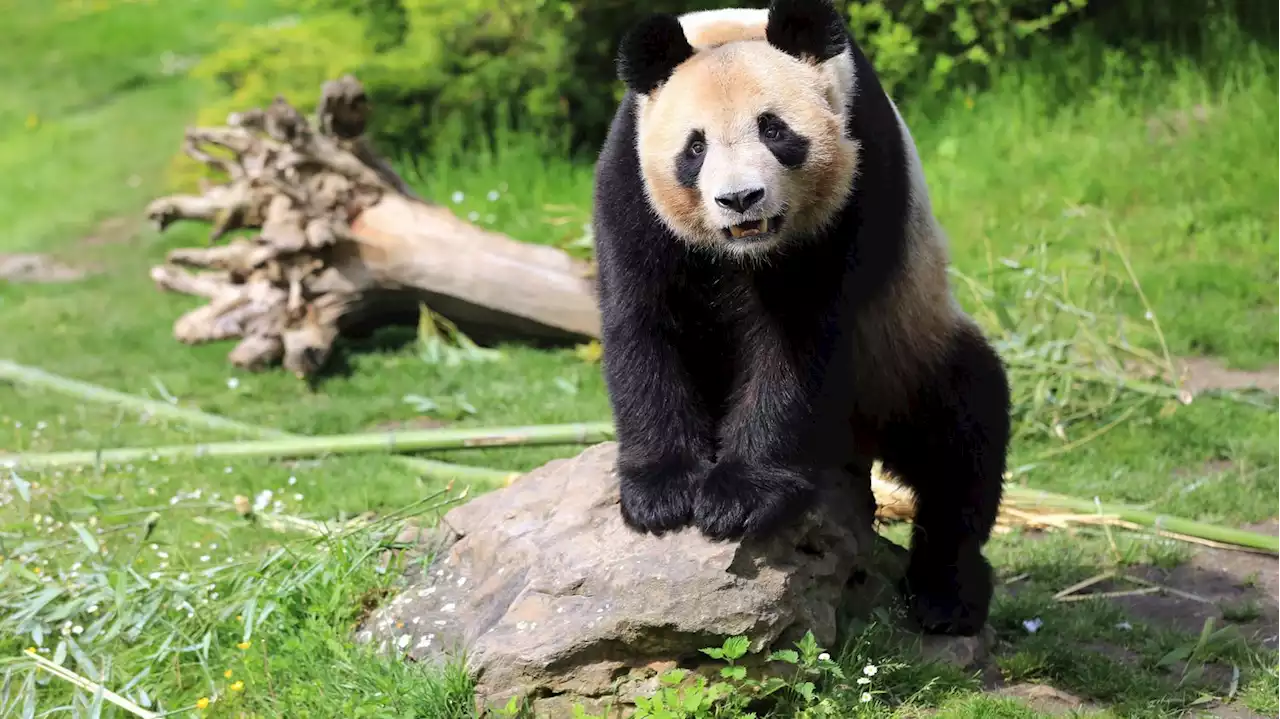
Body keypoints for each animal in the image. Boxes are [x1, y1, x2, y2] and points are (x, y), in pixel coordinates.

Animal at [588, 0, 1008, 632]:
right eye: (694, 147)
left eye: (774, 130)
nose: (740, 199)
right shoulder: (630, 180)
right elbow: (643, 319)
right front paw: (660, 493)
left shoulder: (859, 178)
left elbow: (799, 334)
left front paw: (739, 498)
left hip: (906, 346)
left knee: (962, 431)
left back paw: (946, 595)